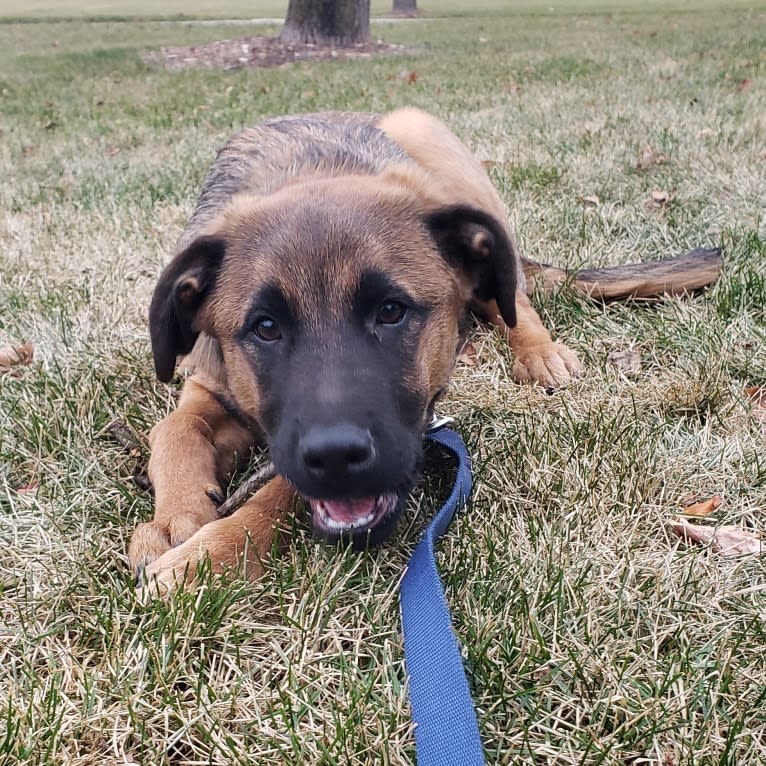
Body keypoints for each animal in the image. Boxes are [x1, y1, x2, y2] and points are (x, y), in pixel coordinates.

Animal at [129, 106, 724, 592]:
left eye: (392, 311)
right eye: (265, 328)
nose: (336, 456)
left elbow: (277, 492)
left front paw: (210, 557)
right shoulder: (215, 384)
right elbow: (175, 429)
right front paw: (176, 518)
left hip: (428, 139)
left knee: (512, 295)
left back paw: (537, 352)